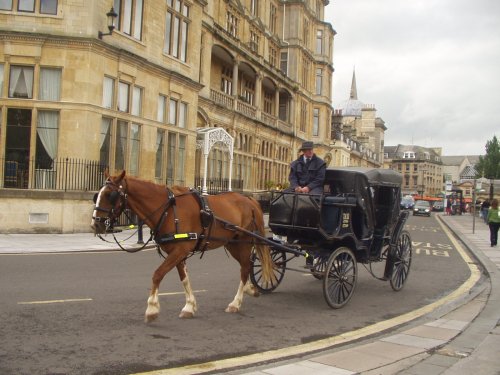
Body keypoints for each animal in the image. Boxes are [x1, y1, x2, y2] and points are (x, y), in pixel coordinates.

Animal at [92, 172, 276, 322]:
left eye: (110, 195)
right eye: (97, 195)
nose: (95, 225)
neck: (169, 211)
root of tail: (249, 200)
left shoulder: (180, 250)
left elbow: (157, 274)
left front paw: (152, 309)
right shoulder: (177, 252)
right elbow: (184, 278)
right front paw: (189, 306)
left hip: (243, 241)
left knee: (245, 268)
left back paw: (236, 303)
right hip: (232, 243)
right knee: (246, 266)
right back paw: (249, 289)